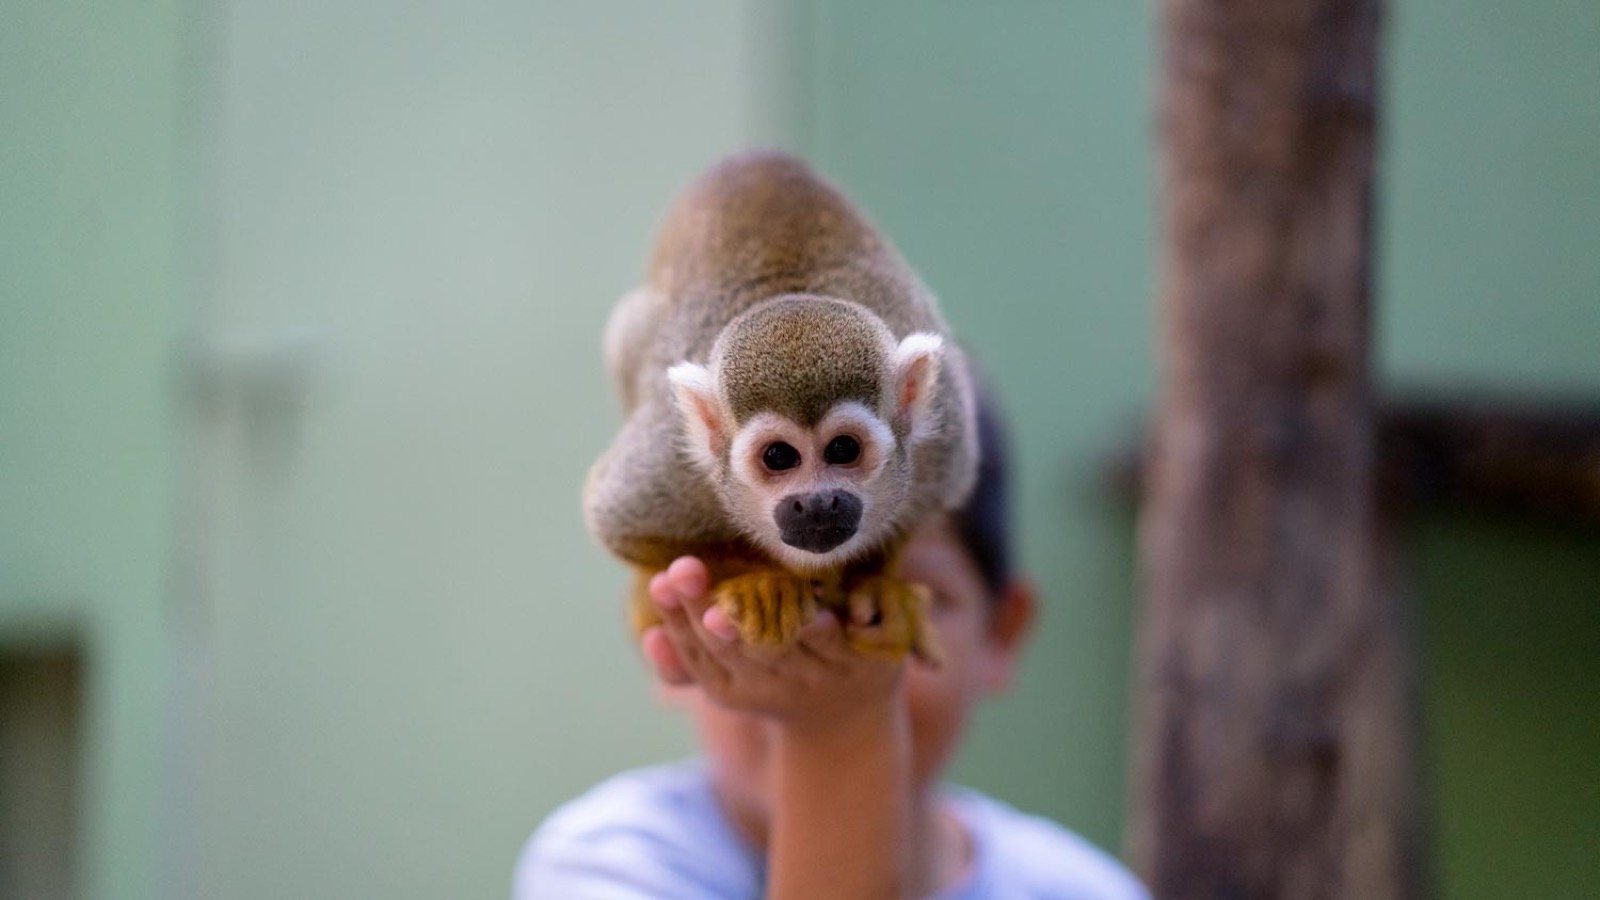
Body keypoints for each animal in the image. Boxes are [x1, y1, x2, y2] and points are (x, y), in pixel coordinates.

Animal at [583, 151, 978, 663]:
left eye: (844, 449)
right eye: (778, 457)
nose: (818, 503)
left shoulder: (943, 442)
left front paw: (879, 585)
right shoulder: (672, 464)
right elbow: (615, 520)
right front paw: (761, 582)